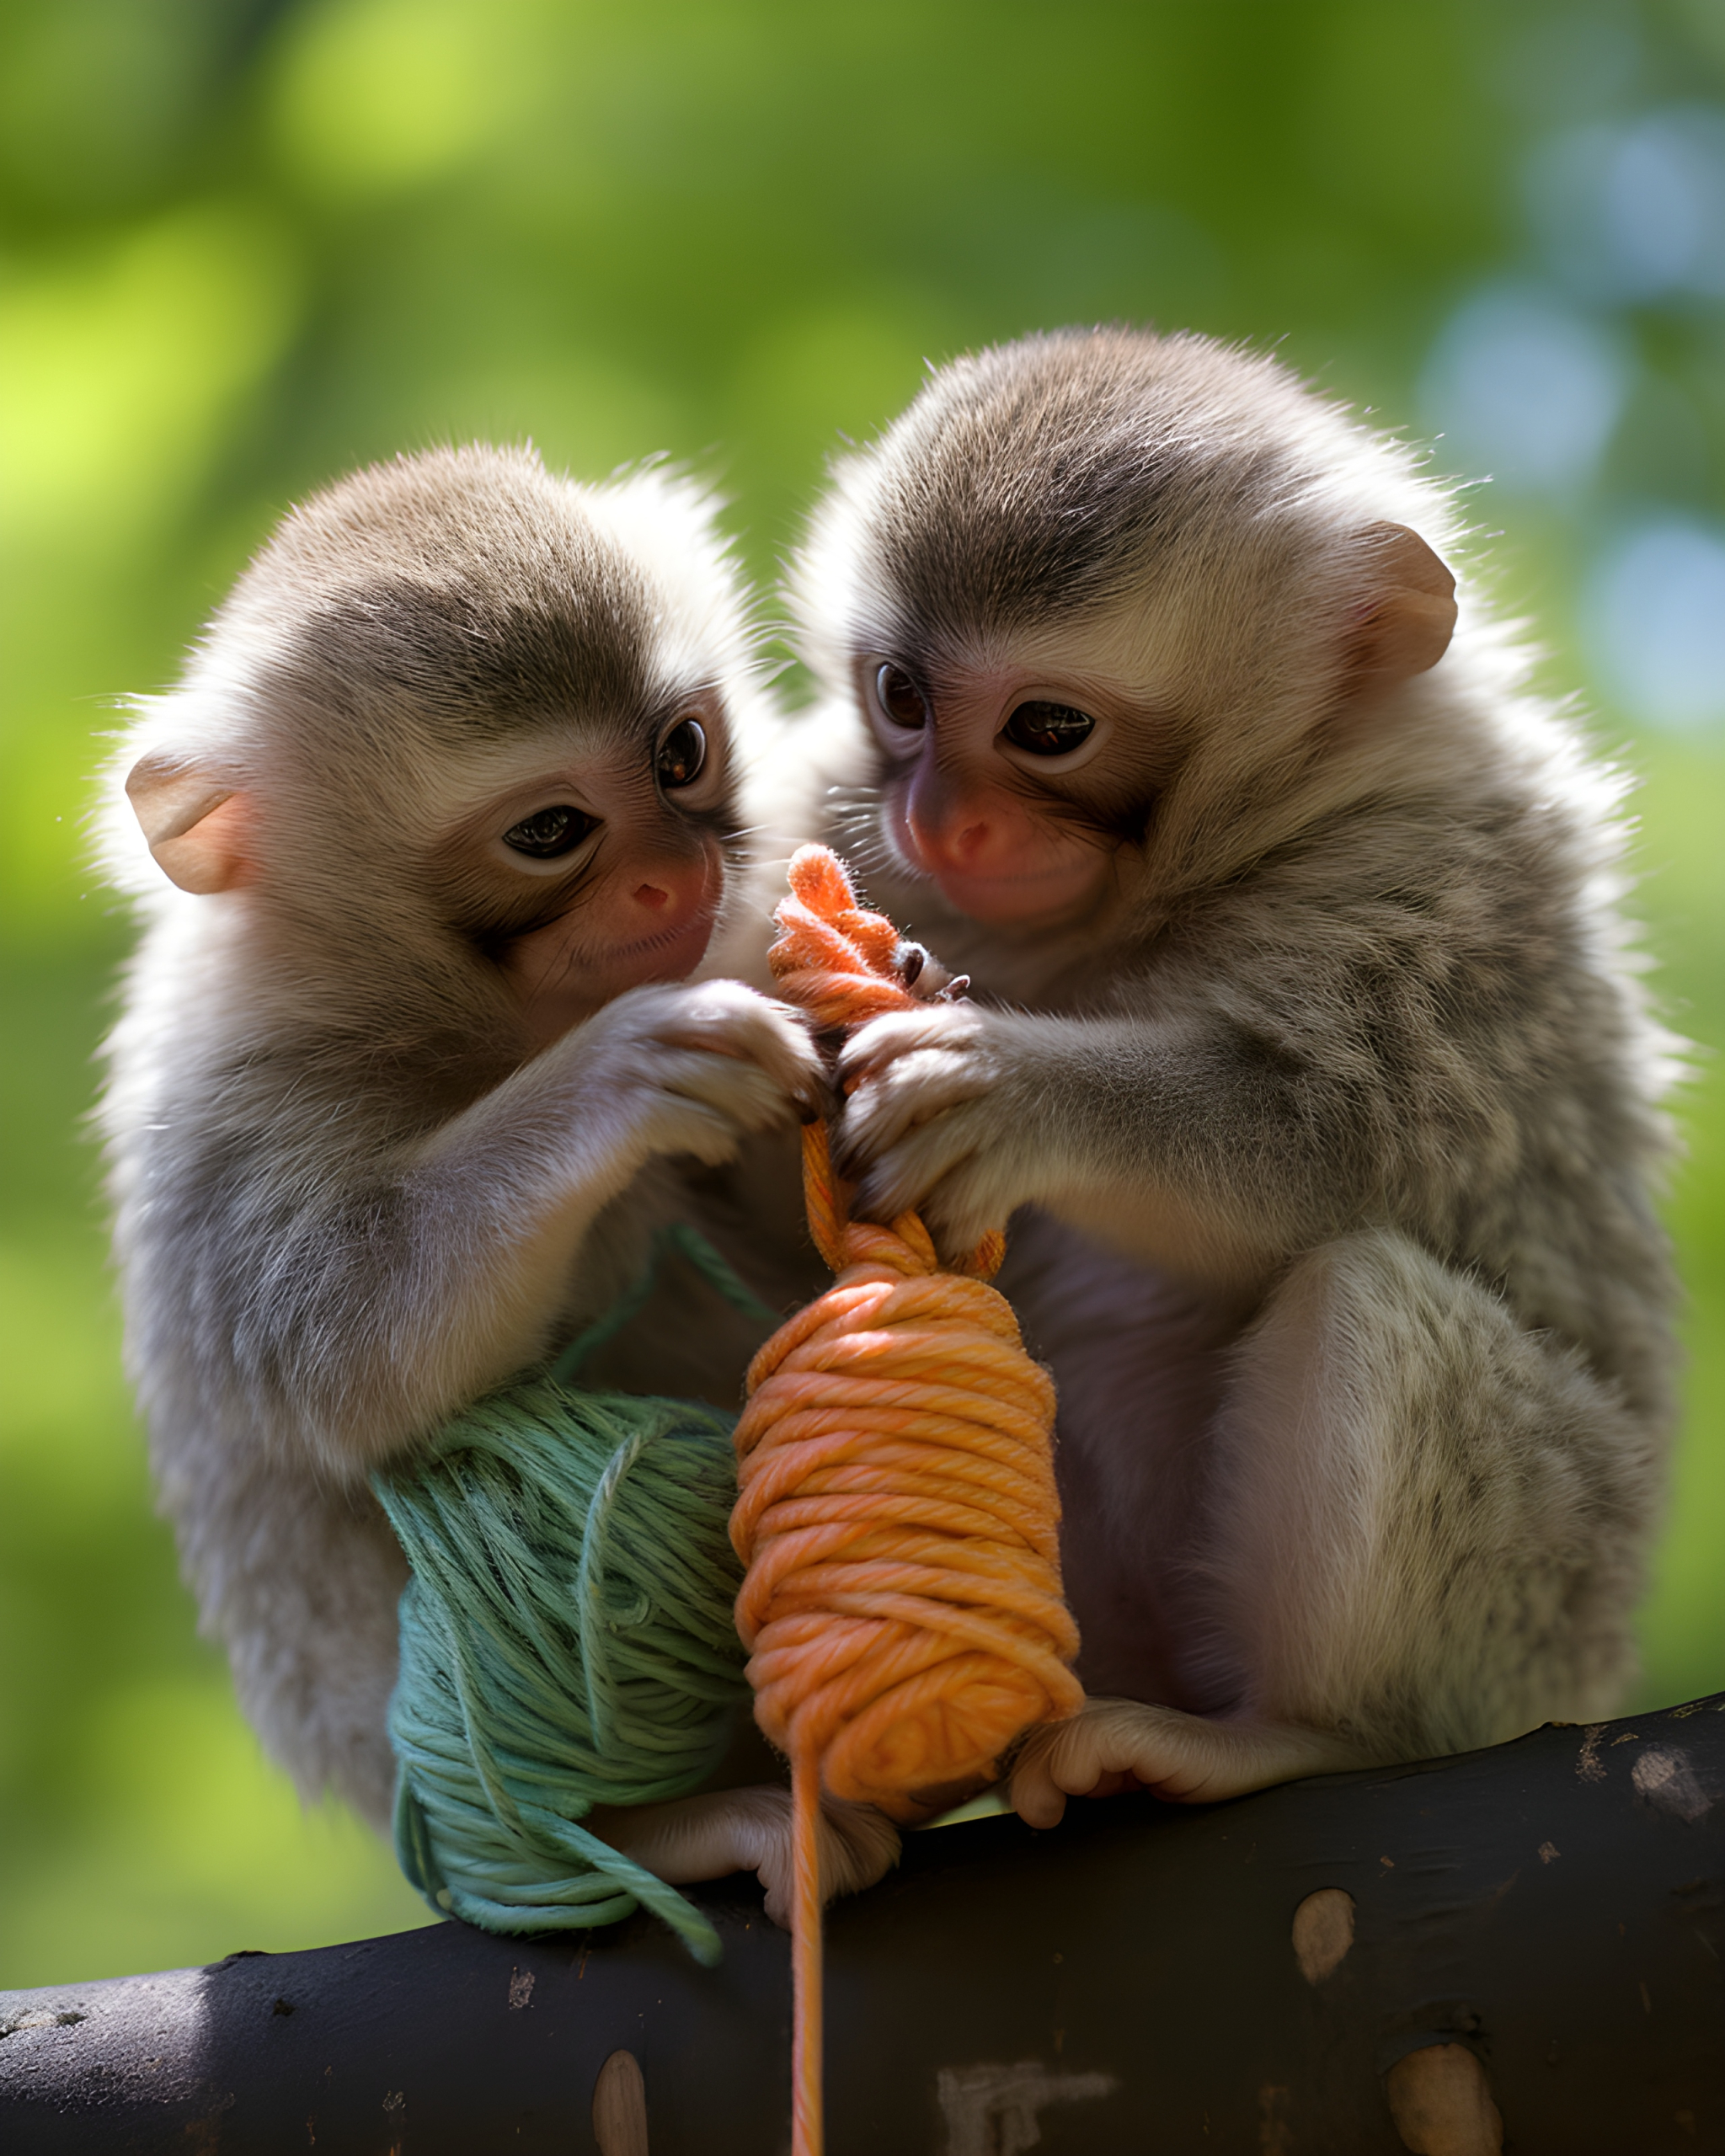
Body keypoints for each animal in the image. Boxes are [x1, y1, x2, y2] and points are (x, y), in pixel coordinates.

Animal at [98, 444, 898, 1923]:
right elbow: (335, 1353)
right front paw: (616, 1083)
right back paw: (651, 1827)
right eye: (551, 830)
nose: (670, 874)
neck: (481, 1025)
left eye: (681, 753)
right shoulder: (238, 1107)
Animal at [780, 327, 1679, 1828]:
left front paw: (1014, 1096)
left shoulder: (1439, 875)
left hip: (1546, 1602)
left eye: (1049, 728)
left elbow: (1347, 1146)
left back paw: (1308, 1733)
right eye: (904, 698)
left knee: (1368, 1292)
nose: (941, 819)